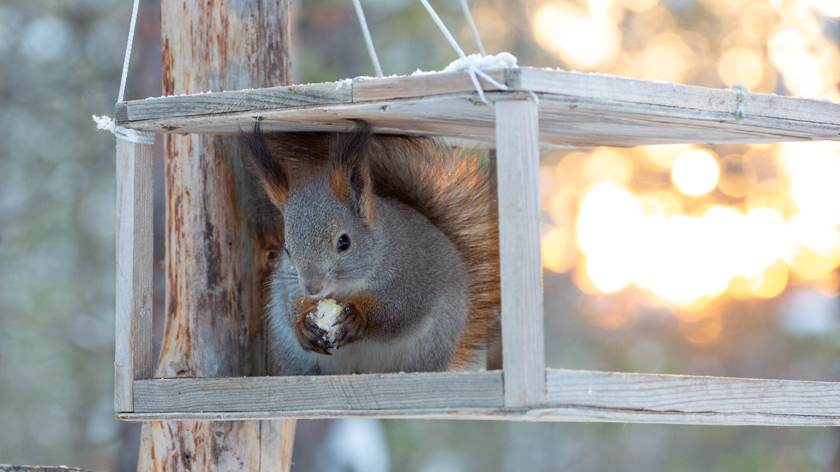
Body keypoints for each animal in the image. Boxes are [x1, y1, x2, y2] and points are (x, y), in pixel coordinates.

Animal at [240, 121, 498, 376]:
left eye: (344, 242)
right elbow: (290, 307)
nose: (312, 288)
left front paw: (358, 315)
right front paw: (304, 323)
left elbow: (399, 310)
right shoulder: (286, 288)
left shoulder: (412, 277)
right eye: (287, 248)